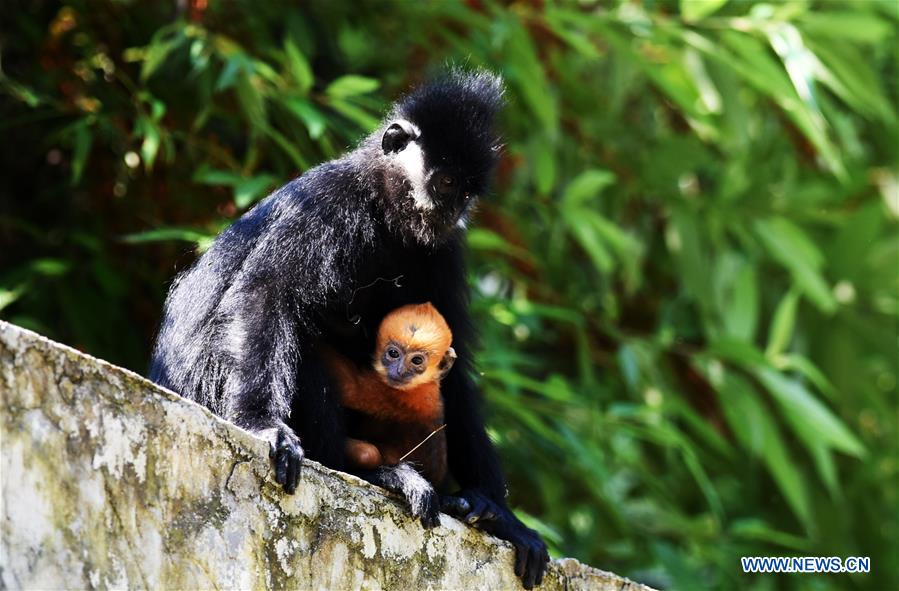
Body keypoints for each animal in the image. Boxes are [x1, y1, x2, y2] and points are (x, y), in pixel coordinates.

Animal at [324, 302, 454, 484]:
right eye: (393, 353)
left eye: (417, 360)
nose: (400, 371)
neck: (426, 383)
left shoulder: (402, 396)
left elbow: (349, 388)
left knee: (368, 454)